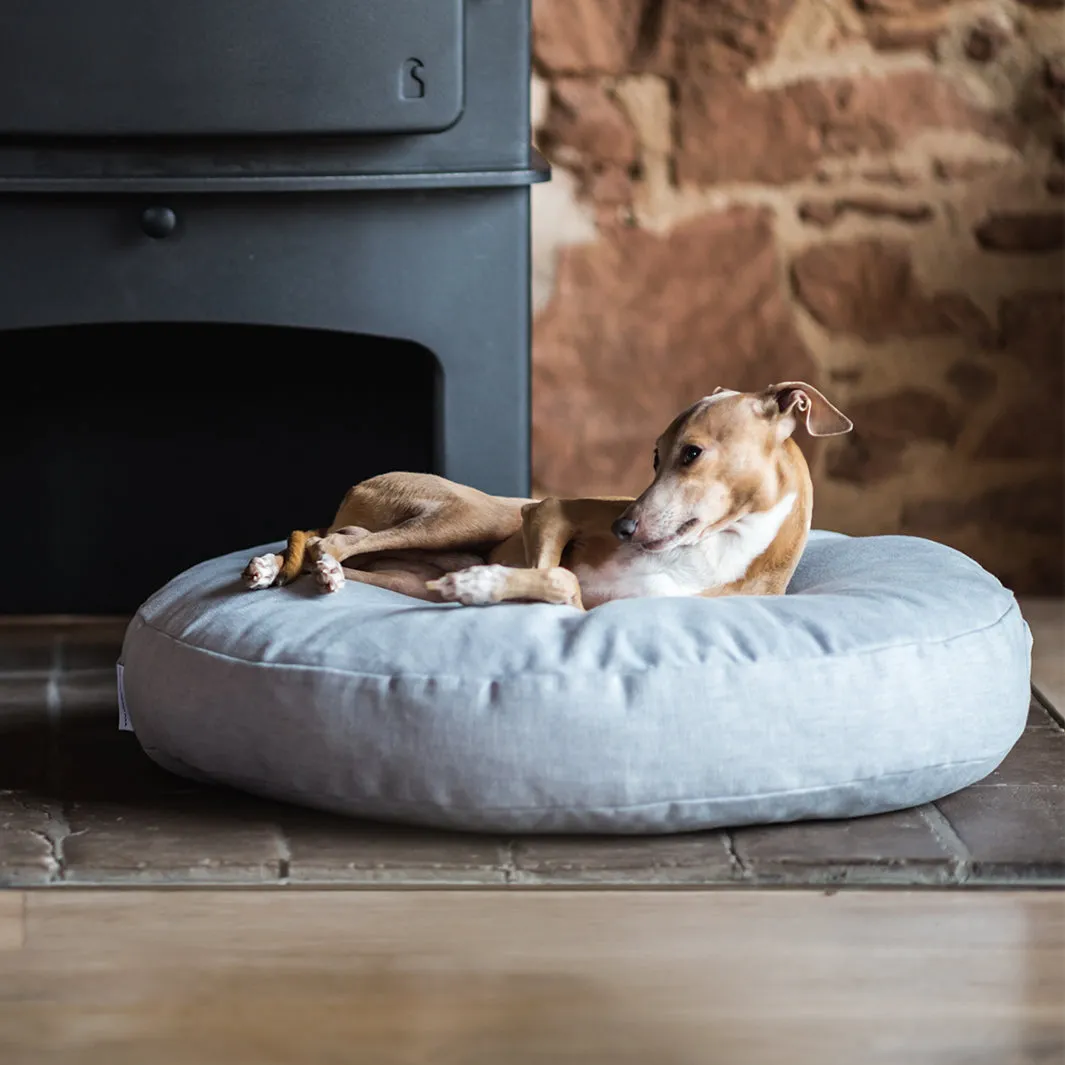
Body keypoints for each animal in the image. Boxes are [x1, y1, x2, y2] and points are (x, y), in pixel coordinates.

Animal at [241, 383, 847, 609]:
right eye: (654, 454)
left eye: (691, 453)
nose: (623, 528)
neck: (716, 553)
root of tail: (356, 488)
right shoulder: (549, 511)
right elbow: (559, 573)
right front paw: (486, 583)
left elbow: (565, 586)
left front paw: (481, 584)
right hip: (473, 515)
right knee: (335, 538)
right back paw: (280, 565)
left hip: (405, 574)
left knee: (337, 543)